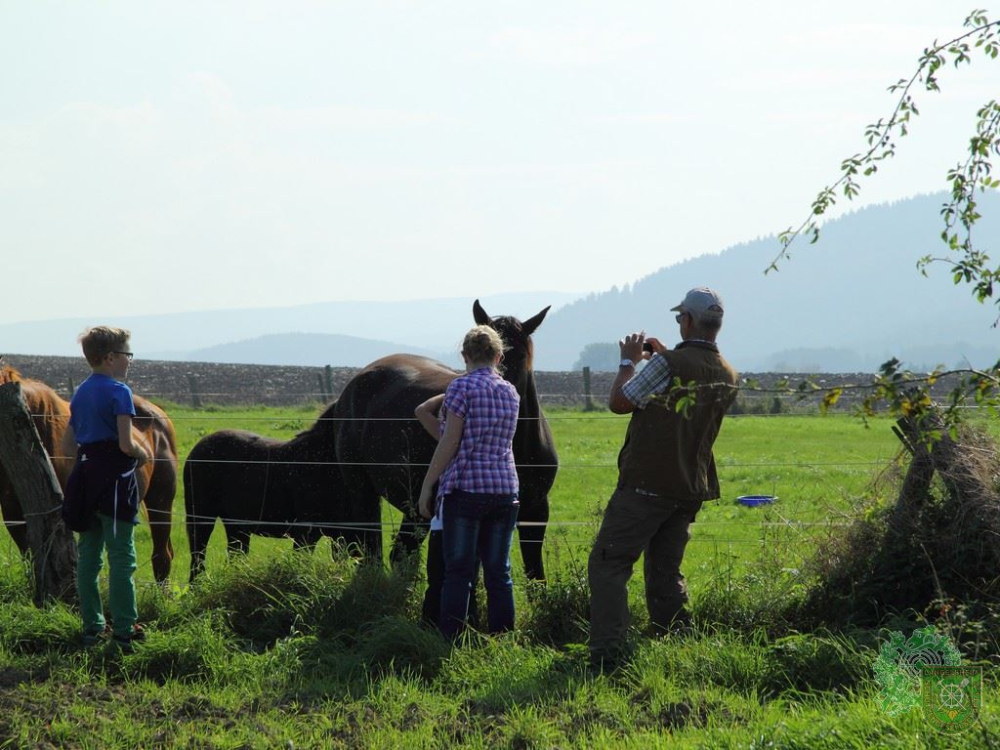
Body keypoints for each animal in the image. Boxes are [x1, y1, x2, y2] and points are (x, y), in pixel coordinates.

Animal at [332, 300, 560, 580]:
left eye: (519, 356)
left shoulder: (535, 511)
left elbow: (535, 574)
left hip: (415, 508)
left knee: (400, 552)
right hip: (363, 491)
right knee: (372, 551)